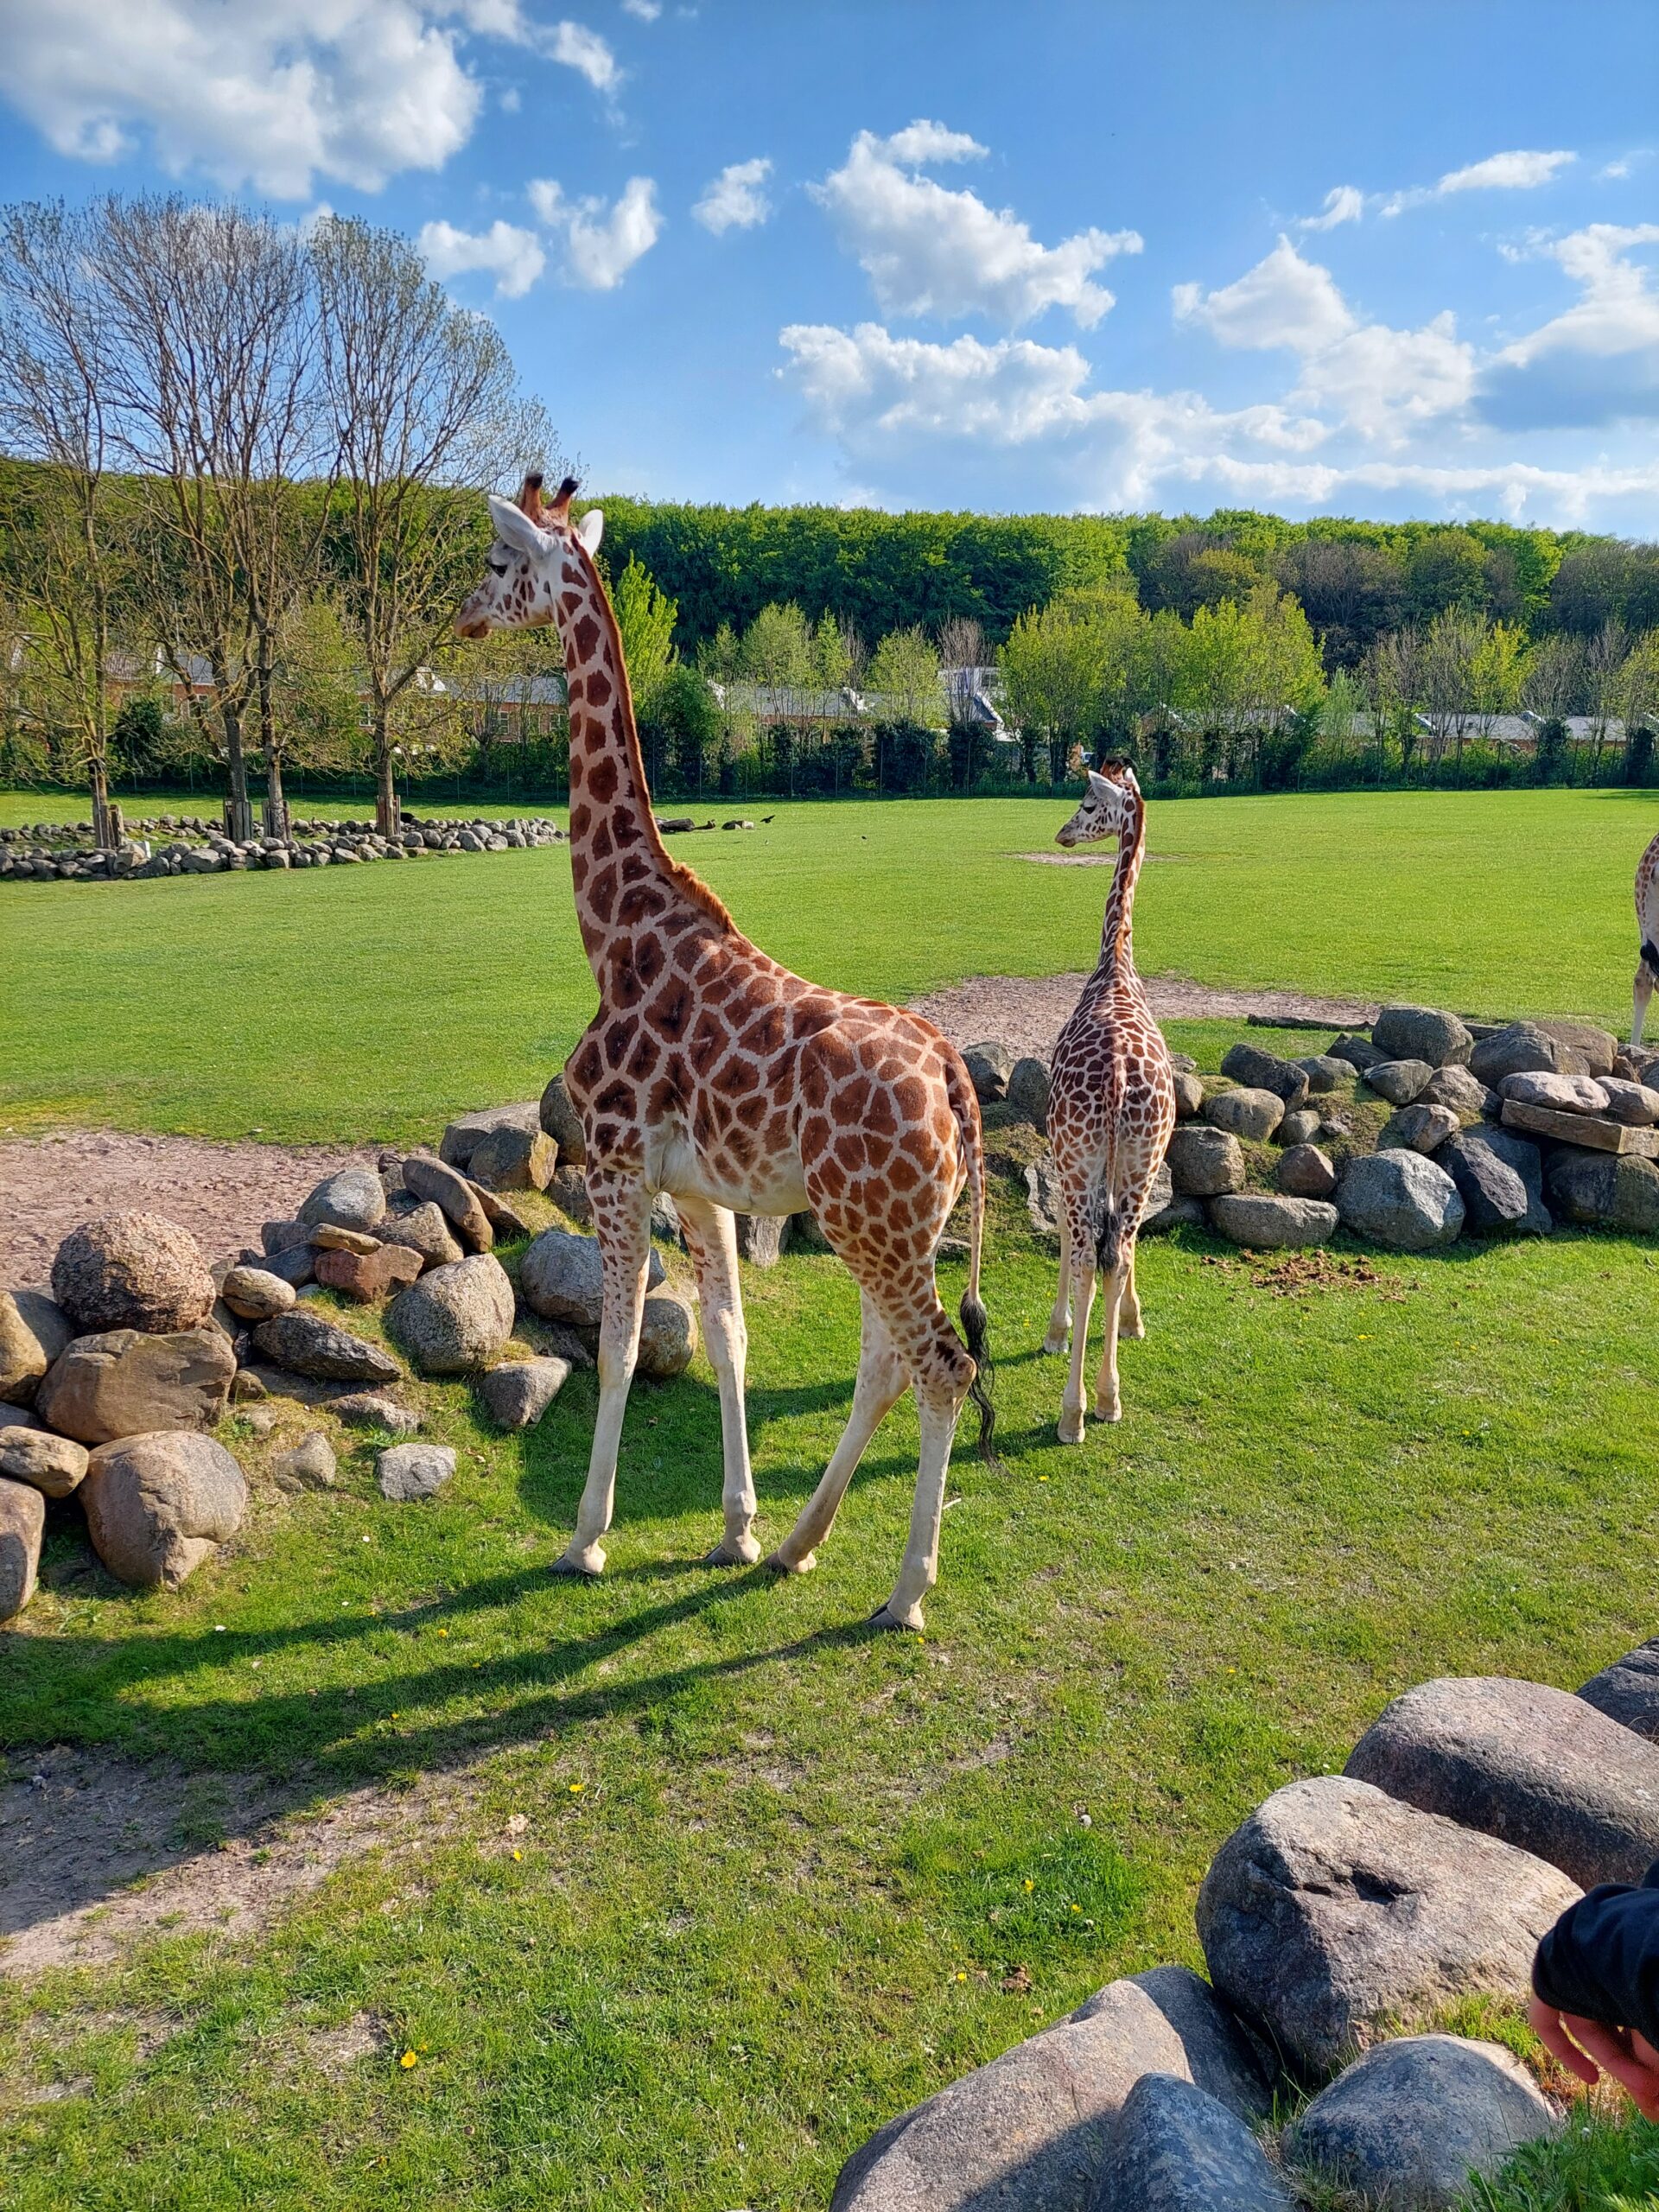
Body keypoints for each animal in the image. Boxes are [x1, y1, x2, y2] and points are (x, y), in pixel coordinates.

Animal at [457, 475, 1000, 1637]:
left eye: (497, 561)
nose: (467, 621)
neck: (615, 931)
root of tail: (954, 1083)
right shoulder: (699, 1185)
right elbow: (727, 1335)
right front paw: (738, 1526)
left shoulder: (616, 1161)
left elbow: (617, 1343)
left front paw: (586, 1538)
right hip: (892, 1223)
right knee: (887, 1361)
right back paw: (798, 1544)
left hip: (871, 1223)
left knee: (939, 1362)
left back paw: (906, 1590)